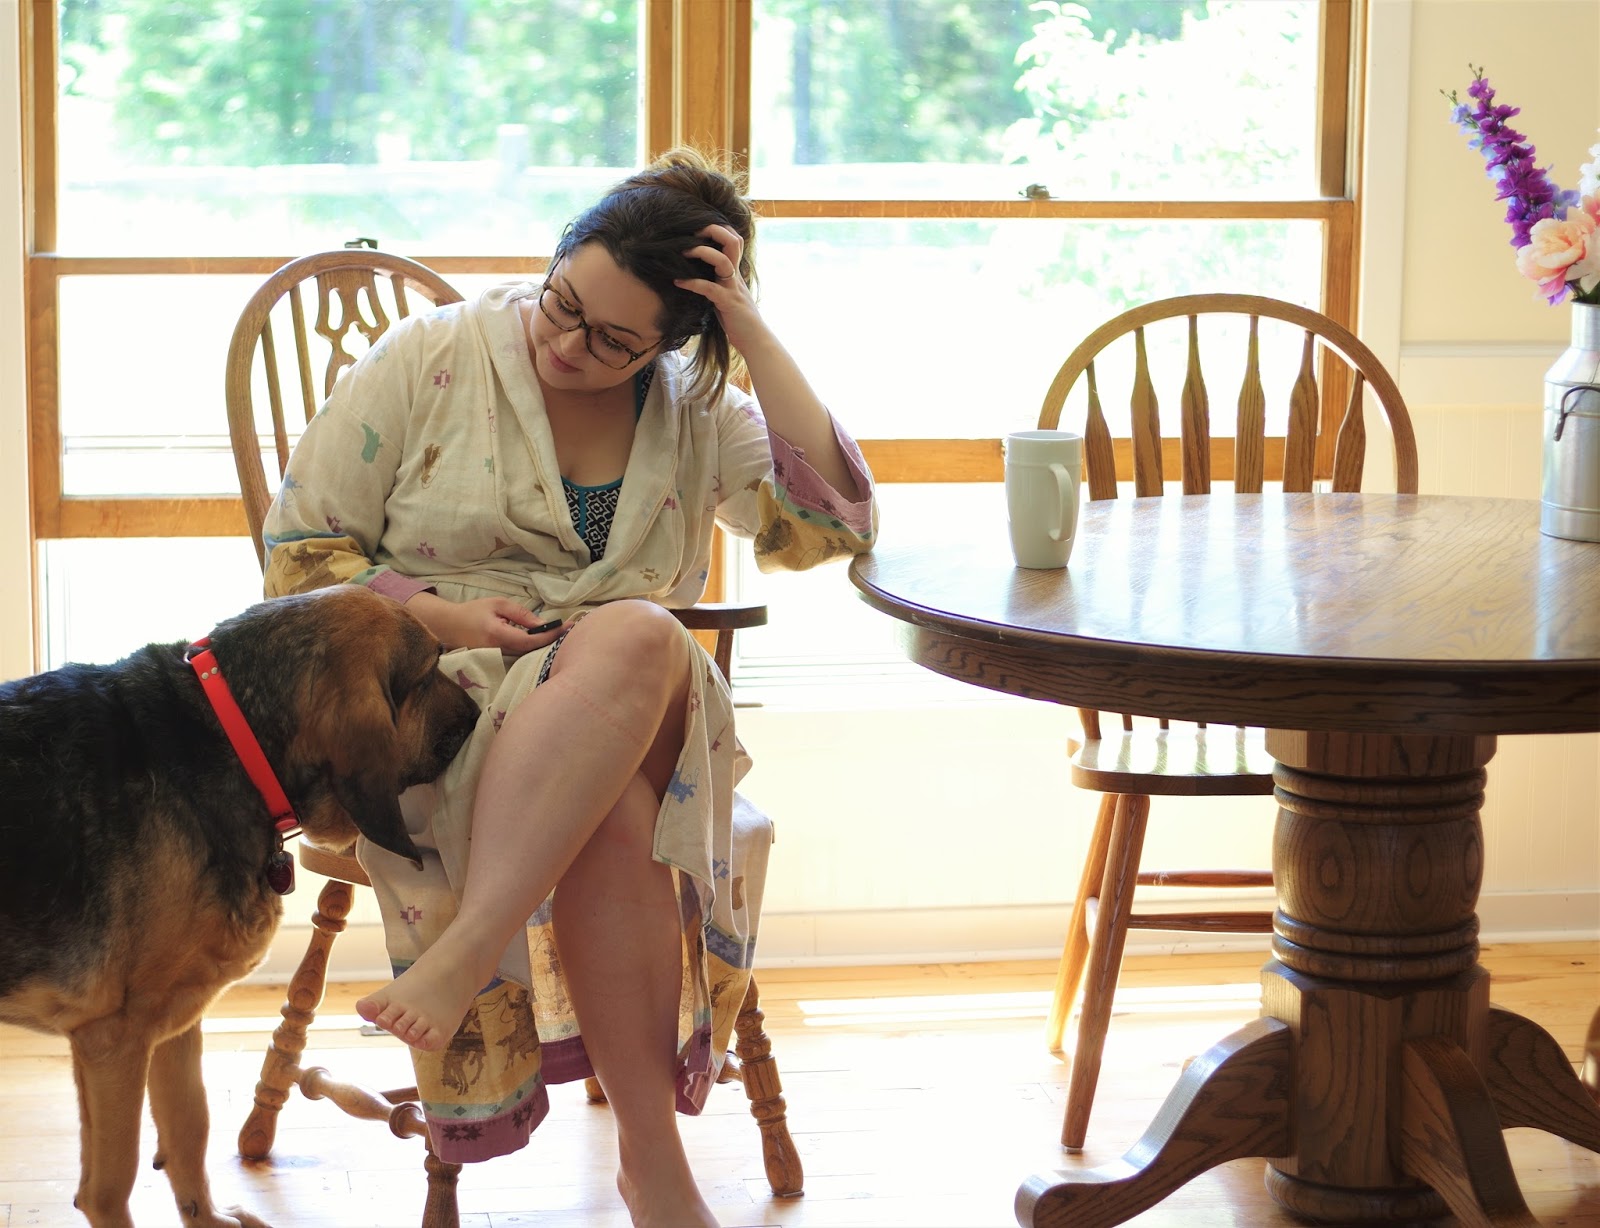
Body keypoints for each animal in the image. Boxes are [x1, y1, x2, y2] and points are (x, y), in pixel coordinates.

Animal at [0, 585, 480, 1228]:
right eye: (428, 672)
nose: (477, 717)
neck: (232, 738)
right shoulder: (115, 1038)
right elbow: (110, 1187)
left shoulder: (170, 1020)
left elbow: (189, 1127)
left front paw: (206, 1217)